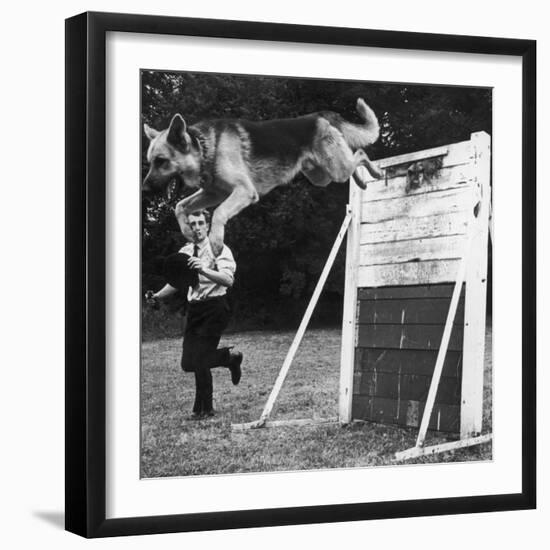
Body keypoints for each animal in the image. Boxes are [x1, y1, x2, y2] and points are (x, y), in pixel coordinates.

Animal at [142, 98, 384, 256]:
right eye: (150, 162)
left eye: (161, 161)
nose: (144, 190)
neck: (205, 148)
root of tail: (319, 115)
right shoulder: (214, 194)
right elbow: (180, 206)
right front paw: (187, 232)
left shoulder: (243, 191)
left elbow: (218, 213)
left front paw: (216, 242)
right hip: (322, 176)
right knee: (355, 160)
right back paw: (363, 181)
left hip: (335, 170)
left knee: (360, 154)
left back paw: (376, 173)